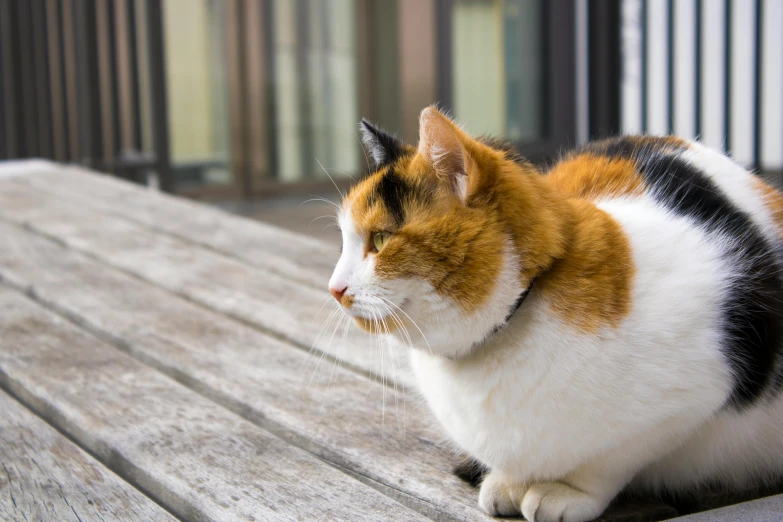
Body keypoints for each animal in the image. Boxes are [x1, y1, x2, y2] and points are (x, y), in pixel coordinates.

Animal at [326, 106, 783, 520]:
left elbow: (608, 460)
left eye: (380, 239)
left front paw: (566, 491)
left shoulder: (691, 397)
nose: (334, 289)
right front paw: (509, 483)